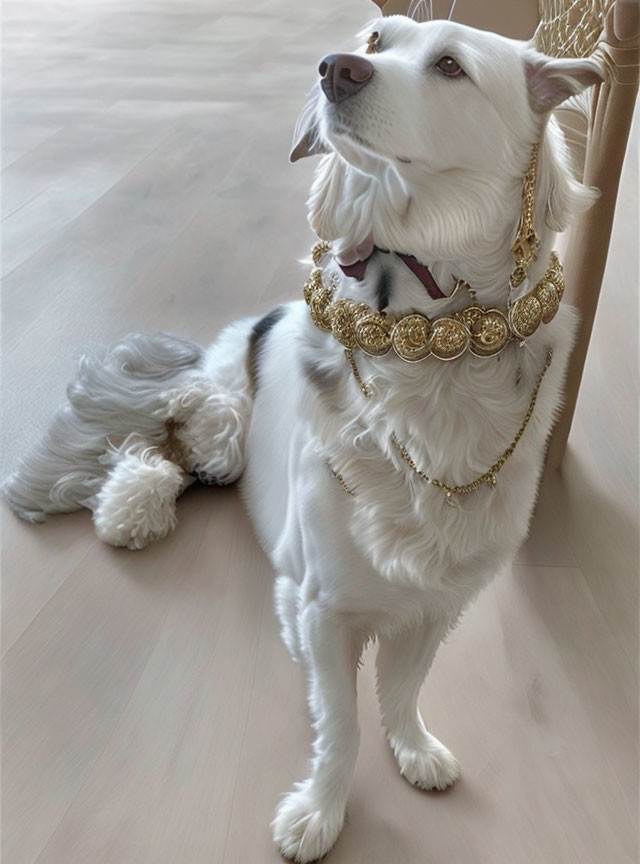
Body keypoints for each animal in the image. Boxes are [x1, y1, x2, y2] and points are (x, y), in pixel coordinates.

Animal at [5, 15, 604, 864]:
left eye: (451, 66)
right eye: (378, 38)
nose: (335, 68)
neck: (432, 356)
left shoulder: (439, 605)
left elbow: (404, 690)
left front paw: (414, 749)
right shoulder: (327, 609)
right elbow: (342, 723)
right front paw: (317, 813)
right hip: (222, 427)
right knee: (167, 441)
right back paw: (132, 506)